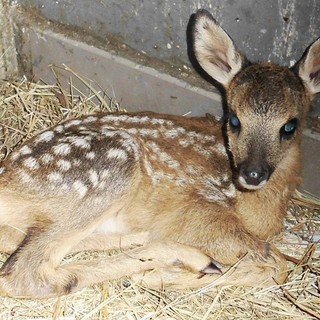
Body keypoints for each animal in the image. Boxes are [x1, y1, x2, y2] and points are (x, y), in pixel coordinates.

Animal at [0, 10, 320, 300]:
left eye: (290, 126)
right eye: (234, 119)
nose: (252, 173)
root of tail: (8, 176)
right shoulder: (204, 213)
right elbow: (275, 263)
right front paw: (162, 277)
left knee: (13, 239)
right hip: (110, 169)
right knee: (26, 275)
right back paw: (180, 263)